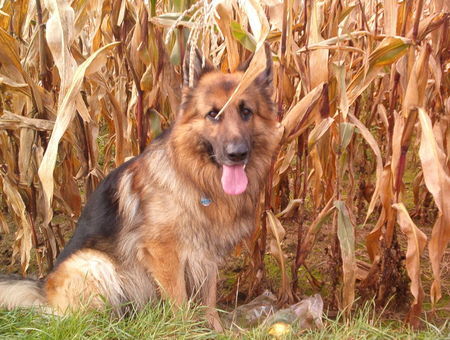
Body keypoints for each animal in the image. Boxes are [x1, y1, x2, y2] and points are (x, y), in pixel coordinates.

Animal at [0, 44, 280, 330]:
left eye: (246, 112)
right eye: (213, 115)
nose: (237, 154)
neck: (195, 179)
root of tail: (44, 289)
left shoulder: (206, 255)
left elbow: (209, 303)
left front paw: (215, 331)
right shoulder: (164, 254)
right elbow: (180, 305)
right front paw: (184, 331)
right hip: (94, 263)